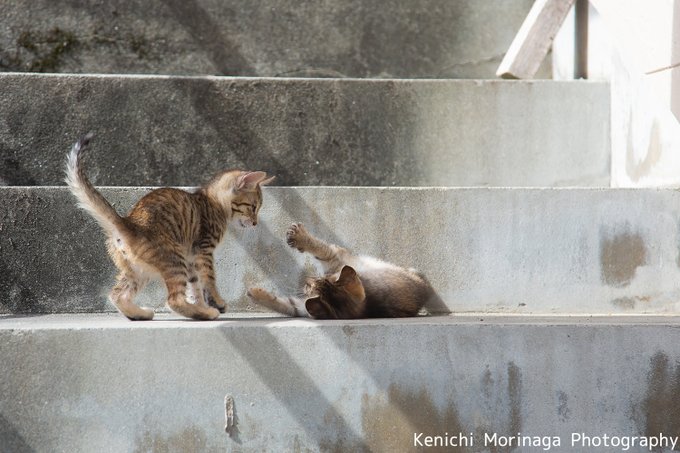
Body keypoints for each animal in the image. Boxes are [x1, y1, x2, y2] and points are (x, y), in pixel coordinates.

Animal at [65, 133, 274, 321]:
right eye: (253, 207)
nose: (255, 222)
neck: (212, 201)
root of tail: (128, 222)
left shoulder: (192, 258)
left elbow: (195, 287)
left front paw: (201, 303)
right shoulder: (203, 250)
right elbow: (209, 278)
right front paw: (216, 302)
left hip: (139, 270)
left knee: (117, 294)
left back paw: (141, 314)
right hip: (174, 258)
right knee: (173, 300)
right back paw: (206, 314)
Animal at [247, 222, 435, 319]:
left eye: (310, 285)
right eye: (316, 278)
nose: (306, 280)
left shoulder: (305, 306)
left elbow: (285, 304)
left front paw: (252, 293)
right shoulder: (301, 307)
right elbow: (283, 303)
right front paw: (257, 294)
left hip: (340, 257)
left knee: (324, 250)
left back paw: (298, 236)